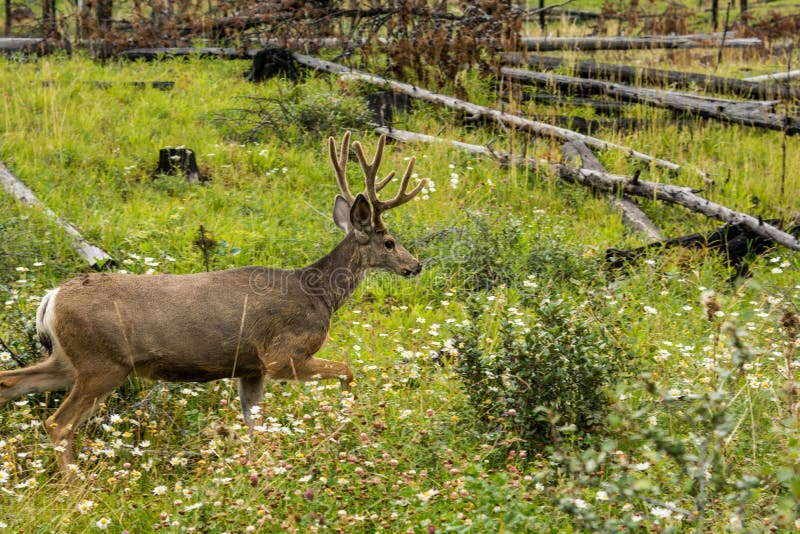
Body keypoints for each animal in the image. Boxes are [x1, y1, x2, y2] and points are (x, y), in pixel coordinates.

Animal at [0, 132, 426, 477]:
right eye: (390, 242)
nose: (416, 265)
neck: (318, 294)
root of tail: (51, 298)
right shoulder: (283, 354)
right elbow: (347, 370)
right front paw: (347, 417)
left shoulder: (251, 368)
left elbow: (254, 424)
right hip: (102, 362)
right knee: (58, 423)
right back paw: (76, 486)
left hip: (69, 360)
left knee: (11, 383)